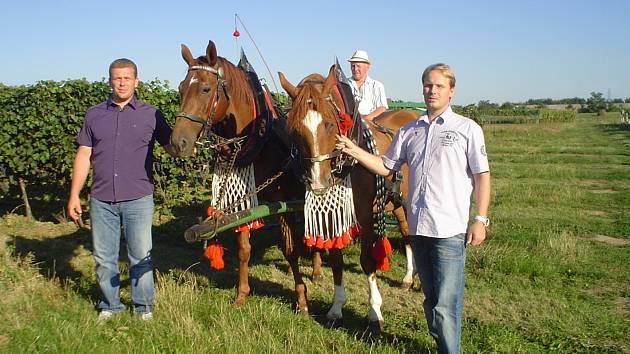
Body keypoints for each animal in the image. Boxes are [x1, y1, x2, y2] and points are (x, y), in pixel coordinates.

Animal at [168, 40, 318, 314]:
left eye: (205, 88)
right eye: (181, 88)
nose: (177, 143)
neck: (258, 140)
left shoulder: (283, 202)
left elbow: (290, 249)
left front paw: (302, 299)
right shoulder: (244, 199)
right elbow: (243, 249)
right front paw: (241, 294)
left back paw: (318, 270)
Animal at [280, 64, 420, 332]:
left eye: (328, 124)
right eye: (294, 129)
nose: (319, 182)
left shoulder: (365, 215)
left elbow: (367, 261)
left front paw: (374, 311)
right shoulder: (330, 214)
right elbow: (336, 260)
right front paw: (336, 308)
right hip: (396, 200)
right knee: (407, 233)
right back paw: (408, 278)